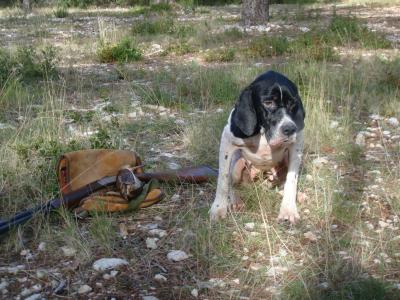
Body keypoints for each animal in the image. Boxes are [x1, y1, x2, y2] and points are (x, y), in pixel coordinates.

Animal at [211, 71, 304, 223]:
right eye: (268, 102)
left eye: (292, 103)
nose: (290, 129)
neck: (263, 132)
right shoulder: (227, 141)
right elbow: (223, 179)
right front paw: (218, 208)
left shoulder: (296, 145)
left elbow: (292, 180)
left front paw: (288, 209)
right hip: (237, 165)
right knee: (231, 183)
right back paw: (235, 201)